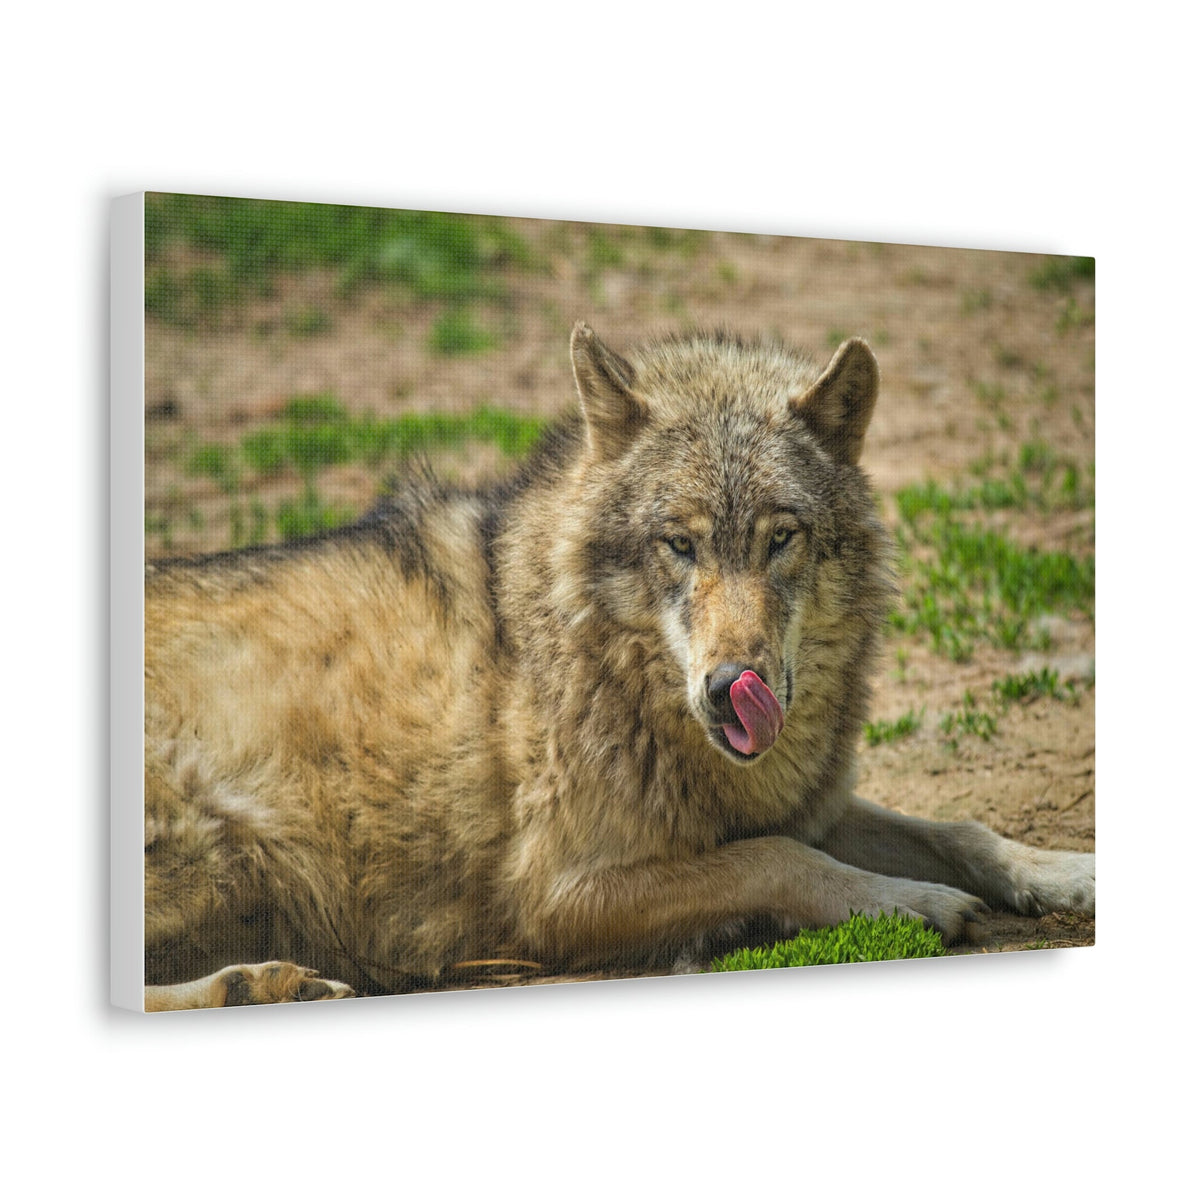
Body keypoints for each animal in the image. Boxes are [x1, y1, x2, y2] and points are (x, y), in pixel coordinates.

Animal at [142, 322, 1094, 1010]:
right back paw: (254, 985)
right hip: (224, 842)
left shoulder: (807, 803)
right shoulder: (556, 896)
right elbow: (779, 860)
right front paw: (912, 903)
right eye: (679, 544)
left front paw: (1061, 873)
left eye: (780, 538)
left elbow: (958, 831)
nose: (730, 689)